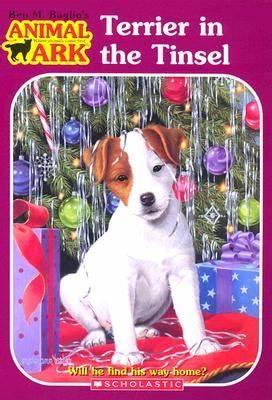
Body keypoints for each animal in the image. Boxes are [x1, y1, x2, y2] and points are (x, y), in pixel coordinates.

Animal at [60, 125, 221, 366]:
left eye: (157, 168)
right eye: (121, 177)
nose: (147, 198)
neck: (152, 230)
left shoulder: (182, 276)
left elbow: (192, 314)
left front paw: (200, 344)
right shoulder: (122, 281)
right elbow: (123, 322)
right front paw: (127, 353)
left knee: (131, 323)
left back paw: (142, 331)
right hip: (68, 287)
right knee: (100, 325)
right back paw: (96, 337)